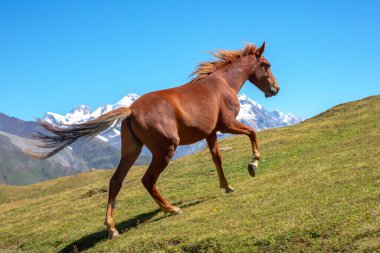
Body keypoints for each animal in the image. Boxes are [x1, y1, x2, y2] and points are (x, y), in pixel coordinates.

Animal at [31, 41, 280, 237]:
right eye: (267, 65)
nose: (275, 89)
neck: (222, 84)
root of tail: (130, 110)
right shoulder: (226, 125)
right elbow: (252, 132)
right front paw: (253, 165)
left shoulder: (210, 133)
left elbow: (216, 158)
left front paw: (227, 187)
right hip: (165, 149)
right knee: (148, 180)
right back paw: (171, 209)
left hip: (131, 151)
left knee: (115, 181)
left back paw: (112, 229)